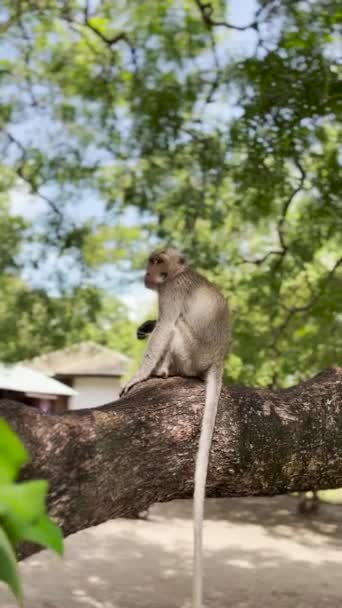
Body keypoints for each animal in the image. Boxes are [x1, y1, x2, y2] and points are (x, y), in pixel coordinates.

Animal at [120, 247, 230, 608]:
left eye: (158, 261)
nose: (148, 270)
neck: (179, 273)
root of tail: (219, 359)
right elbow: (156, 328)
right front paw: (145, 325)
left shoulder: (170, 292)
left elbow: (165, 327)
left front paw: (139, 376)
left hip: (192, 355)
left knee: (176, 329)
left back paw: (163, 372)